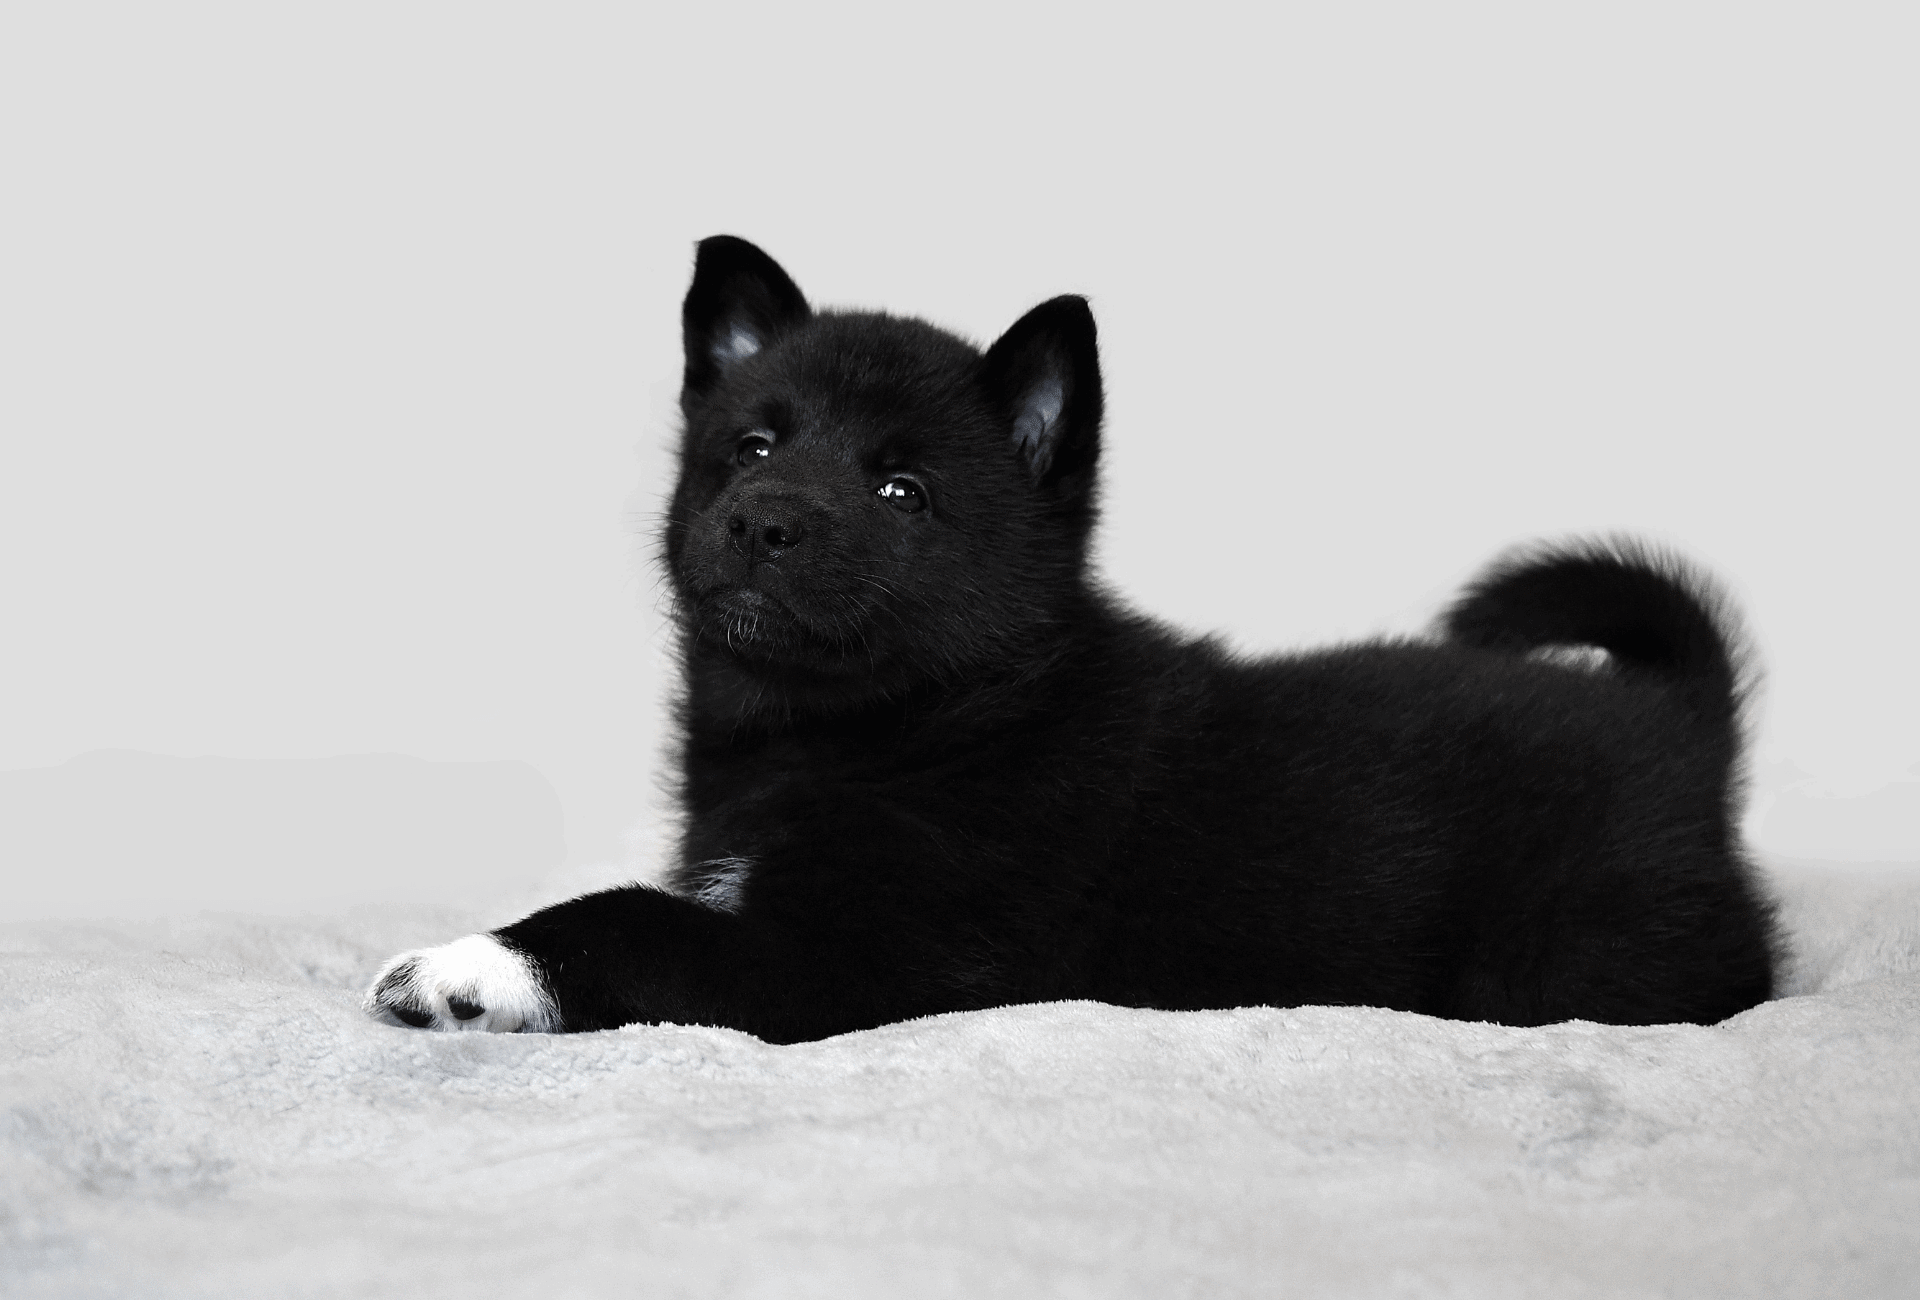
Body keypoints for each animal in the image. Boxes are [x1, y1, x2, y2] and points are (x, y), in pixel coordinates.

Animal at [366, 238, 1774, 1036]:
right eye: (754, 447)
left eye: (903, 491)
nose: (765, 520)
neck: (918, 724)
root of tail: (1679, 721)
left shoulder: (852, 963)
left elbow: (632, 920)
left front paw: (469, 967)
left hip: (1585, 960)